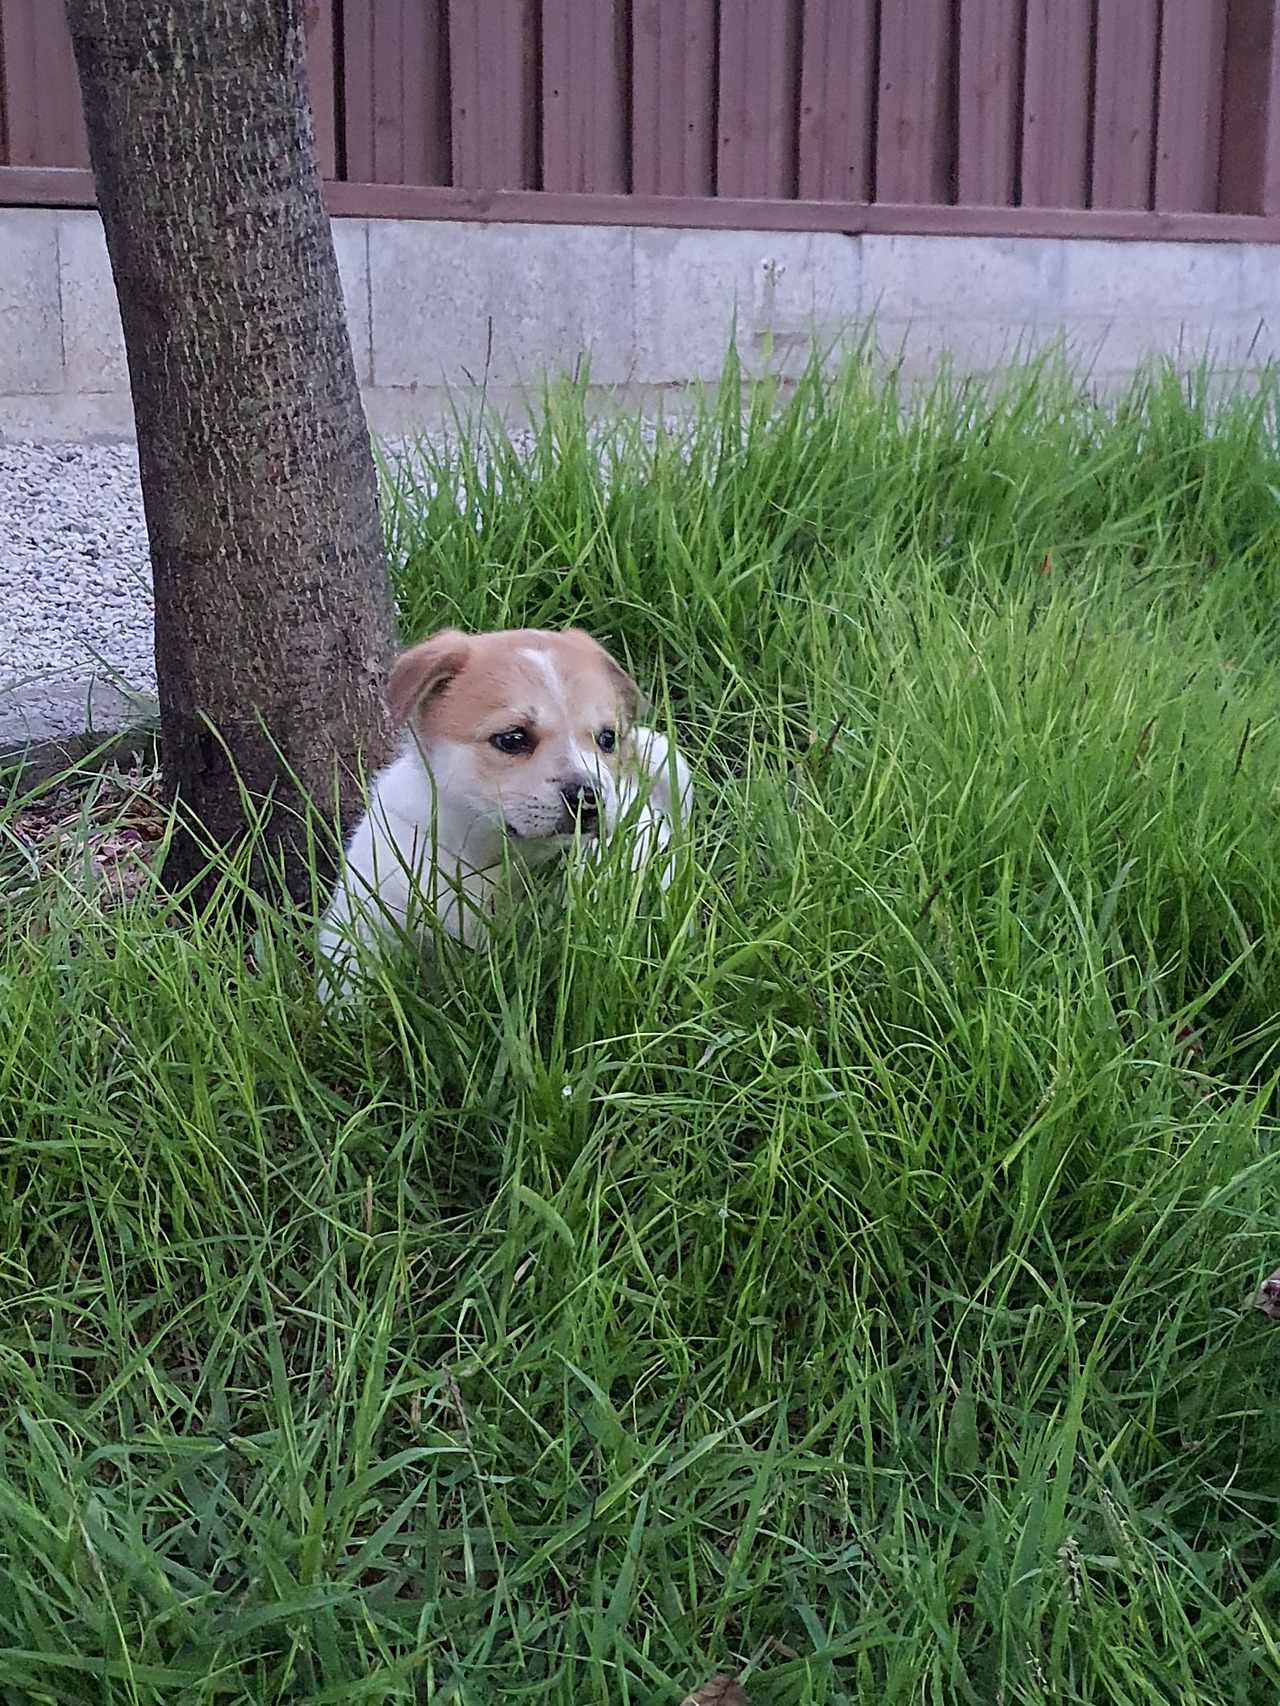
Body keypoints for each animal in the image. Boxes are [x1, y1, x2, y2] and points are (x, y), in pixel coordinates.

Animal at [318, 626, 691, 1001]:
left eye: (608, 739)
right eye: (512, 738)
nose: (588, 797)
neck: (488, 859)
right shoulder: (366, 914)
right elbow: (347, 981)